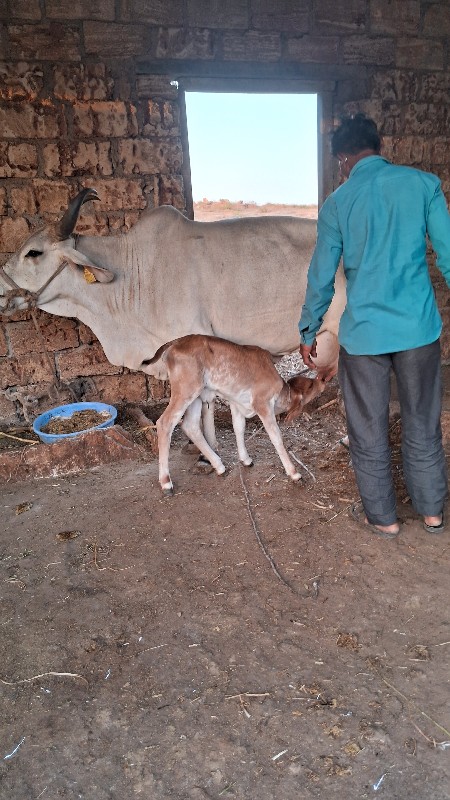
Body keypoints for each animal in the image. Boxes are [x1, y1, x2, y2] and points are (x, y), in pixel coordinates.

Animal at [146, 332, 326, 494]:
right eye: (310, 386)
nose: (322, 380)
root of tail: (174, 343)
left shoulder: (237, 403)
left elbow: (238, 428)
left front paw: (245, 459)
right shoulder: (262, 403)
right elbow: (276, 437)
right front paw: (294, 473)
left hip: (197, 395)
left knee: (190, 425)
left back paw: (219, 465)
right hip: (185, 390)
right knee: (165, 422)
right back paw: (166, 483)